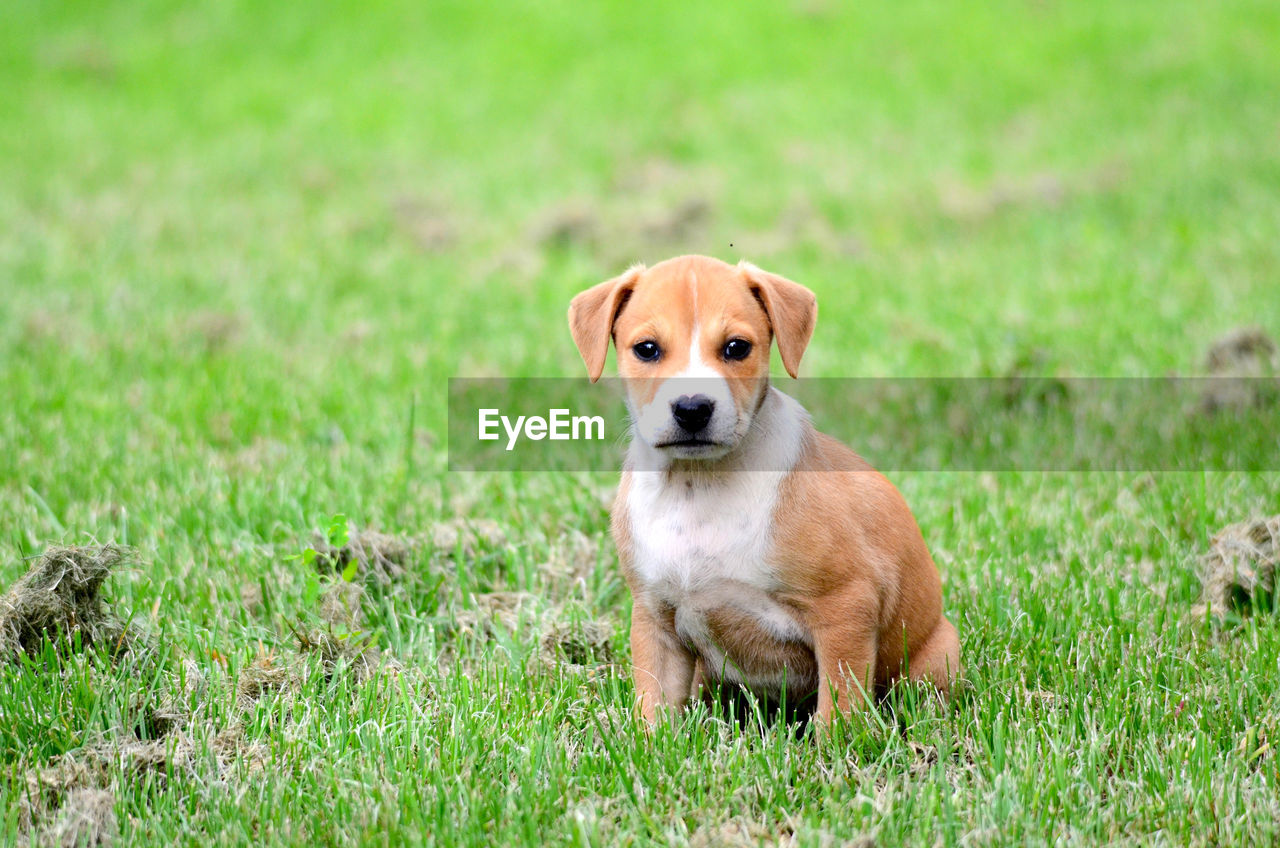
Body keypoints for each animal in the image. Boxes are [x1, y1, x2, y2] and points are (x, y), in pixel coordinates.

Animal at [570, 256, 962, 727]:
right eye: (646, 349)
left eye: (737, 347)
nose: (692, 408)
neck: (700, 486)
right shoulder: (654, 618)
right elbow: (655, 708)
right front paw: (651, 743)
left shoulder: (846, 608)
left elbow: (839, 710)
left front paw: (839, 747)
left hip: (935, 657)